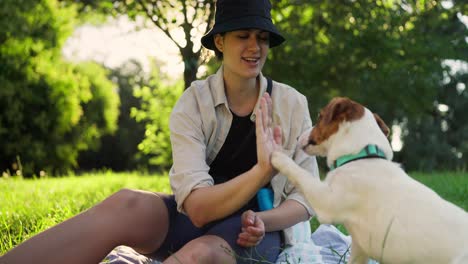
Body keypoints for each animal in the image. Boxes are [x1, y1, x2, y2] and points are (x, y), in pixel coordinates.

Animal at [272, 97, 468, 264]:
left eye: (320, 116)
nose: (298, 137)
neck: (359, 157)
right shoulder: (359, 247)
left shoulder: (326, 202)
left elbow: (299, 173)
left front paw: (278, 156)